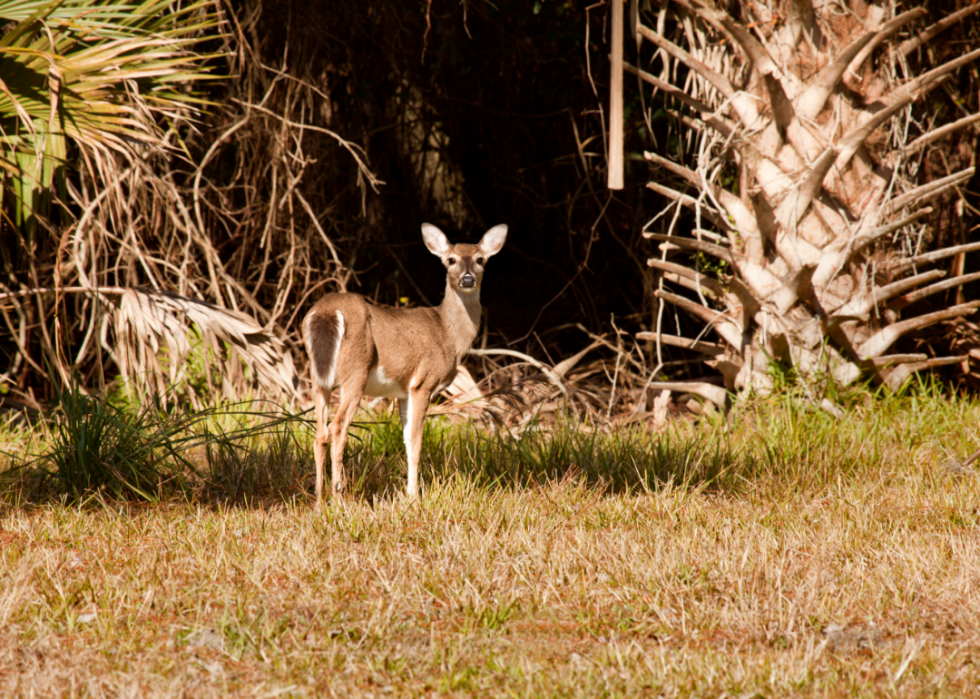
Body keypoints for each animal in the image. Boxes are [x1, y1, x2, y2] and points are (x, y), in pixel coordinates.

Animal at [302, 221, 510, 500]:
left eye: (480, 259)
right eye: (451, 259)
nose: (468, 278)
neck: (448, 334)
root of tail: (325, 311)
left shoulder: (402, 391)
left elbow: (406, 441)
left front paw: (409, 492)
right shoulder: (424, 382)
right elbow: (416, 441)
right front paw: (414, 496)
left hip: (318, 376)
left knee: (319, 432)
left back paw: (318, 499)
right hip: (355, 369)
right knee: (337, 428)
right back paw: (338, 498)